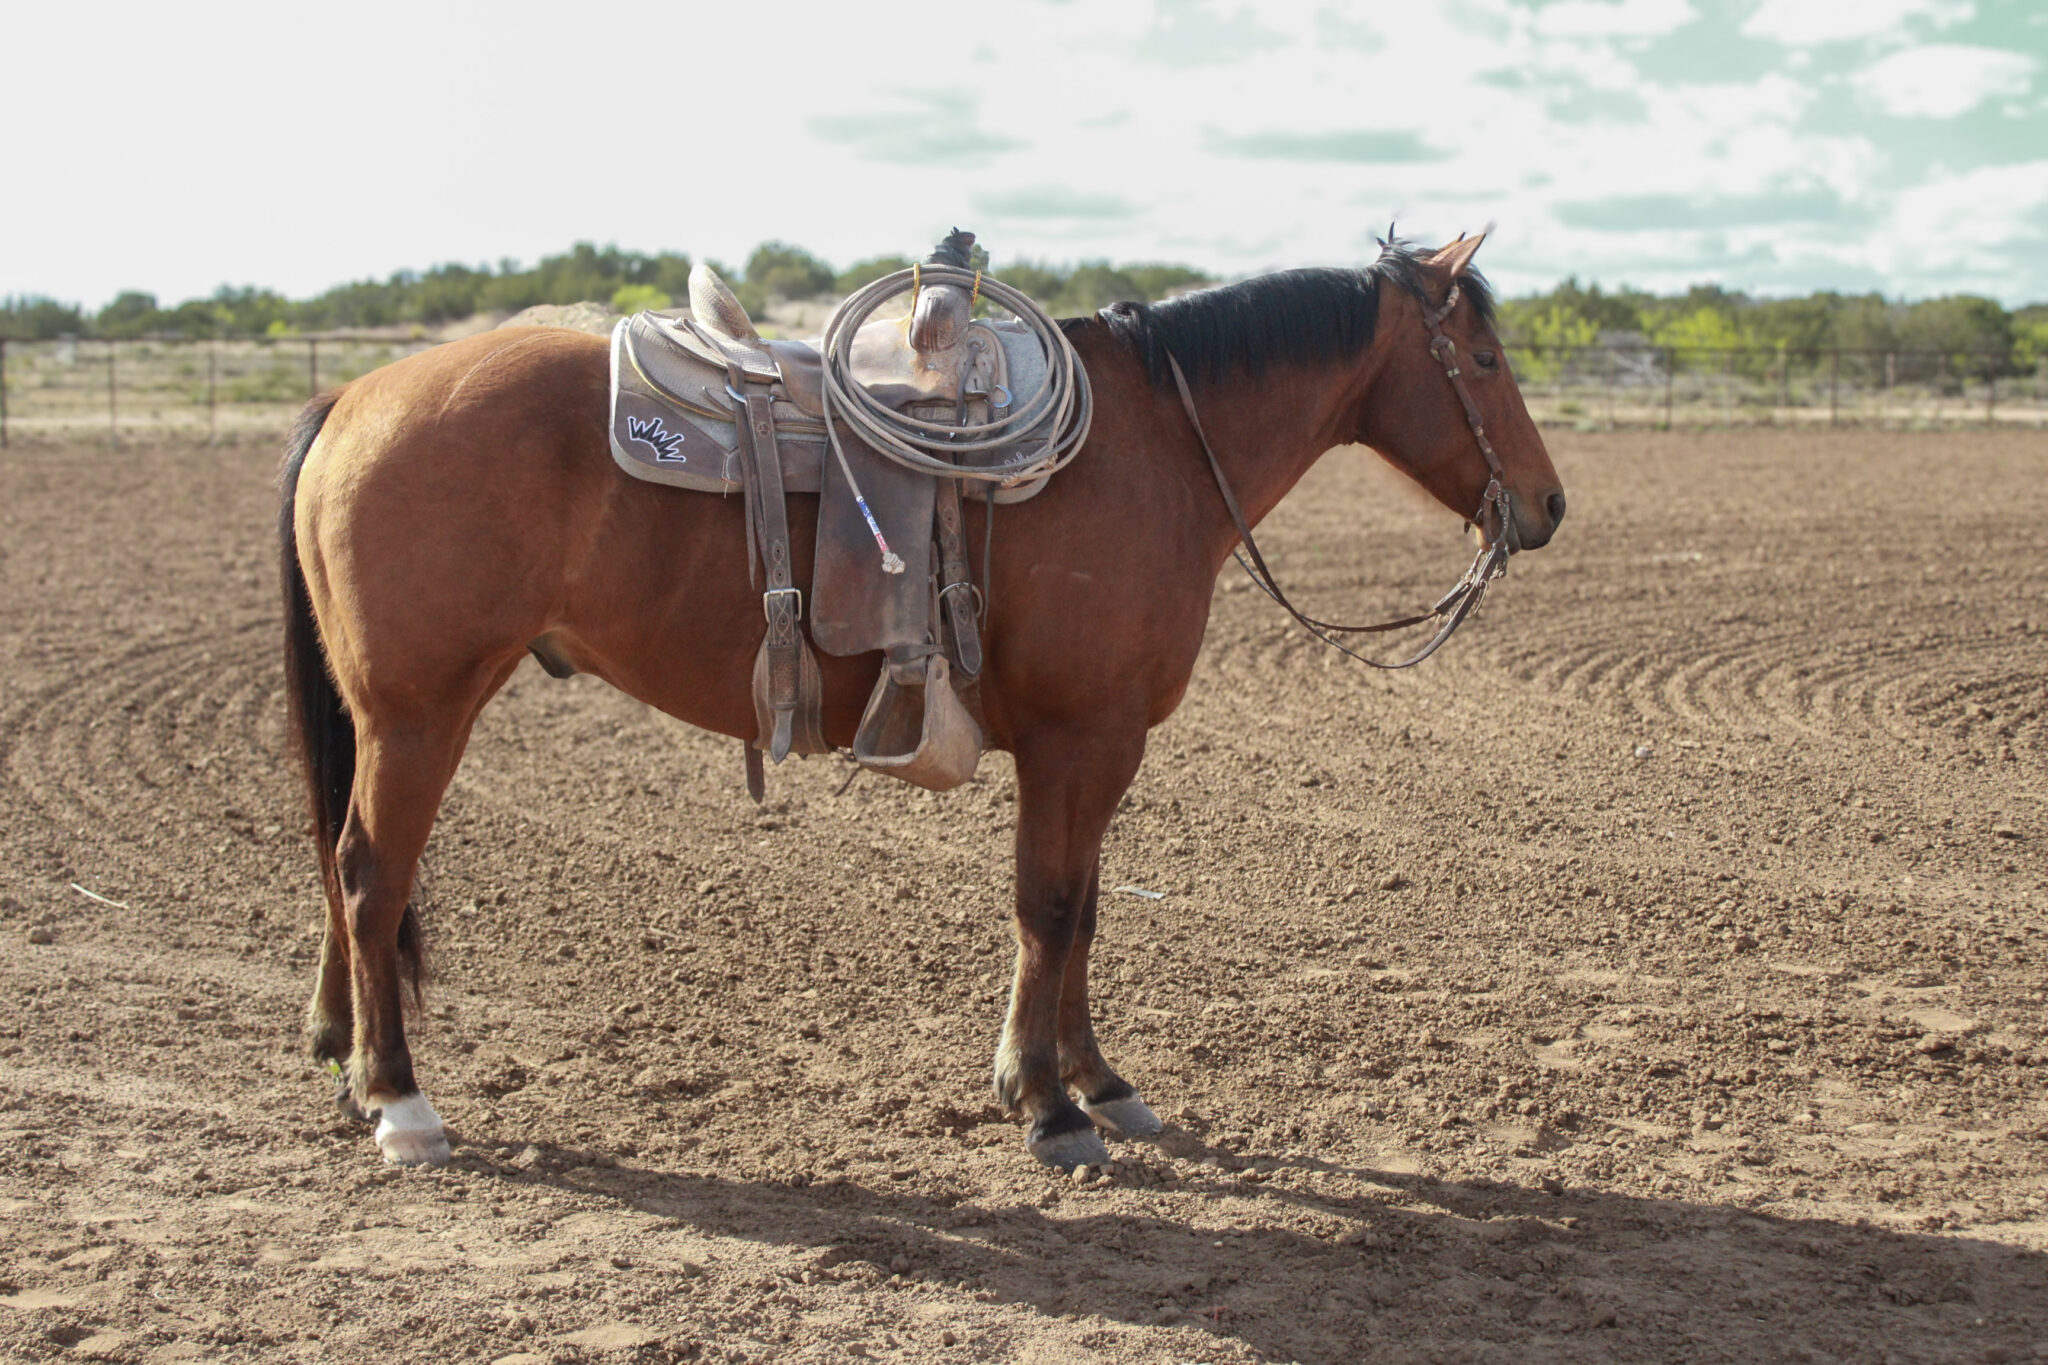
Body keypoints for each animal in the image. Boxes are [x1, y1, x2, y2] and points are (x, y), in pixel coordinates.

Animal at [278, 233, 1565, 1169]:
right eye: (1482, 362)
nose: (1547, 505)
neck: (1150, 446)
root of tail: (353, 396)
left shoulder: (1099, 747)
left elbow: (1084, 912)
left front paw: (1100, 1081)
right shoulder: (1077, 740)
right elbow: (1048, 906)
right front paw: (1045, 1105)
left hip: (381, 716)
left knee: (337, 861)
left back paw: (340, 1056)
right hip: (419, 712)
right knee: (372, 872)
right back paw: (401, 1102)